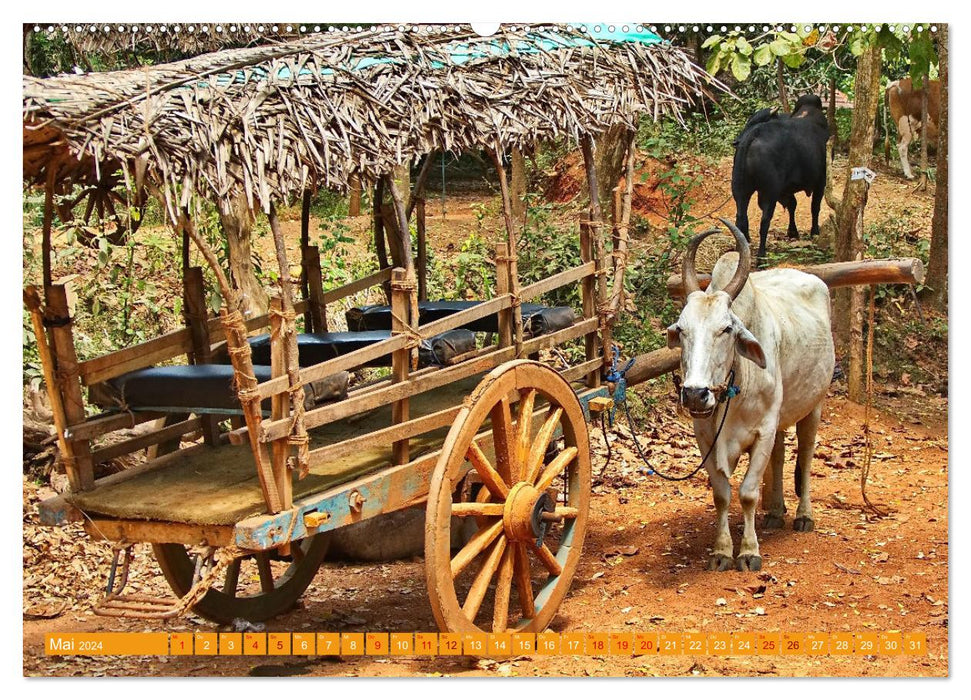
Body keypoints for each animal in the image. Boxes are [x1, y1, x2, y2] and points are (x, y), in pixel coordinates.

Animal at [732, 95, 832, 266]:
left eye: (754, 120)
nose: (736, 141)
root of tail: (753, 136)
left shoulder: (784, 190)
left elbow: (792, 205)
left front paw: (793, 231)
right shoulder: (820, 181)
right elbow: (814, 207)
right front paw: (814, 232)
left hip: (740, 189)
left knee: (741, 219)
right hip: (769, 193)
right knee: (764, 221)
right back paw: (761, 257)